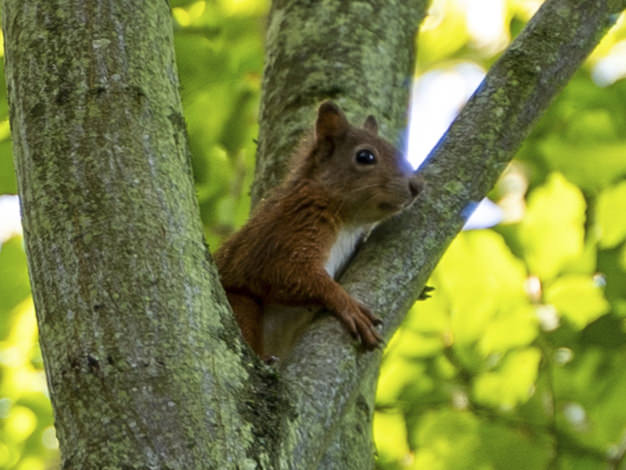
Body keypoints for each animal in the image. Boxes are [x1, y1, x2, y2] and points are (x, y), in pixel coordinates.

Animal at [214, 103, 424, 358]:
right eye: (365, 156)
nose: (418, 186)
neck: (348, 222)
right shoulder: (289, 229)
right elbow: (287, 271)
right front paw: (347, 304)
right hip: (241, 304)